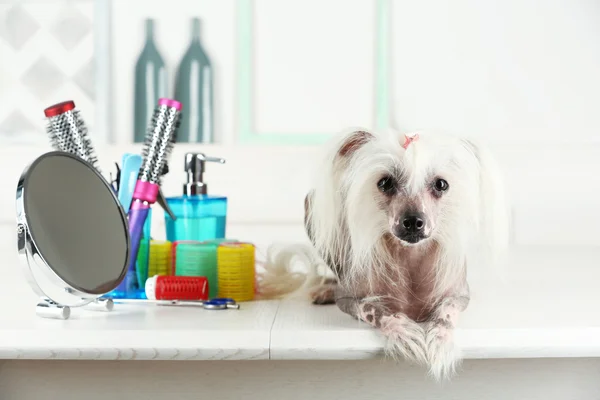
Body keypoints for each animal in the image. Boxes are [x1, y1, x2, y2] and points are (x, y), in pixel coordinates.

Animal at [260, 127, 508, 378]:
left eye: (441, 184)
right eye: (385, 182)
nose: (413, 221)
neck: (410, 257)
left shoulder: (459, 294)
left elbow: (447, 312)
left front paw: (439, 341)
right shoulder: (348, 299)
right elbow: (374, 309)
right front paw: (404, 333)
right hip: (314, 210)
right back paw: (326, 289)